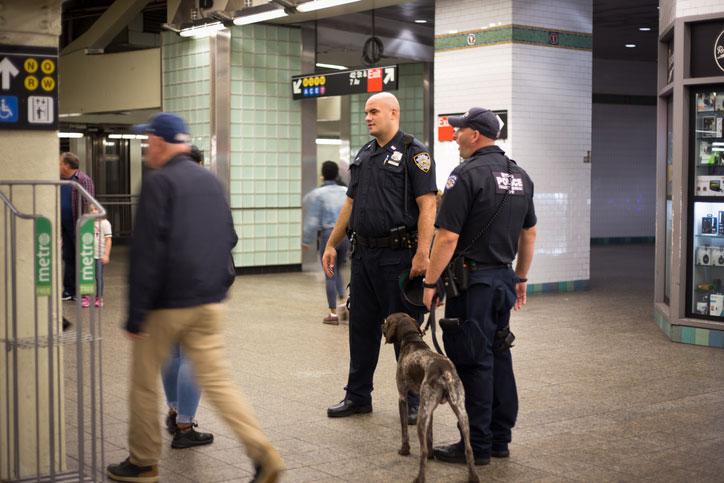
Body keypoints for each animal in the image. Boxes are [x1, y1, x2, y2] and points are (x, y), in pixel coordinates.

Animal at [382, 312, 478, 482]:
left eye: (386, 321)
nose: (381, 326)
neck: (411, 339)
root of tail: (445, 373)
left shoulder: (402, 397)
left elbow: (404, 430)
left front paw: (404, 450)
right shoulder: (430, 408)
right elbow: (430, 437)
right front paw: (433, 455)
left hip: (421, 417)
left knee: (423, 451)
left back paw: (419, 478)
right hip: (461, 412)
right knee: (468, 448)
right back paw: (473, 477)